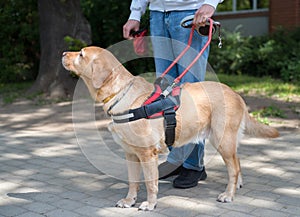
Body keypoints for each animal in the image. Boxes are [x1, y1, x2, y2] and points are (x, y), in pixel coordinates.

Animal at [62, 45, 280, 210]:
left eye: (81, 54)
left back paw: (228, 194)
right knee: (237, 161)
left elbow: (151, 183)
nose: (63, 53)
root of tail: (235, 93)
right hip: (226, 141)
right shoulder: (131, 153)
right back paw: (238, 185)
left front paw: (149, 204)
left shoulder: (147, 154)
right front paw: (129, 200)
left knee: (233, 167)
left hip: (221, 139)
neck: (121, 93)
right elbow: (133, 181)